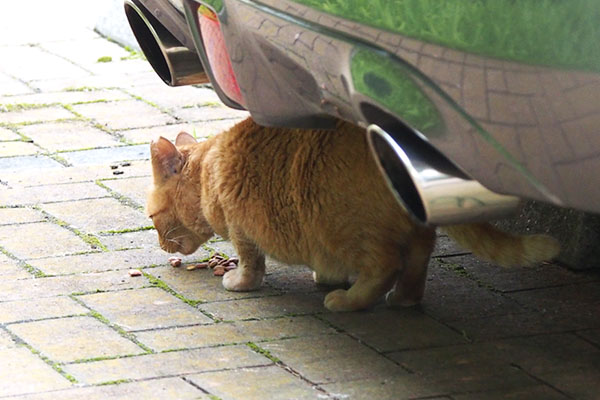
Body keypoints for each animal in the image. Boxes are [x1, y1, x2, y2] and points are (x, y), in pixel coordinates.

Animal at [148, 117, 560, 310]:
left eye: (152, 219)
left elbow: (252, 265)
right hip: (413, 235)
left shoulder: (242, 228)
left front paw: (239, 282)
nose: (160, 245)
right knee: (417, 261)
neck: (208, 170)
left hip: (341, 226)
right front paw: (326, 276)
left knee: (386, 265)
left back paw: (350, 301)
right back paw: (403, 298)